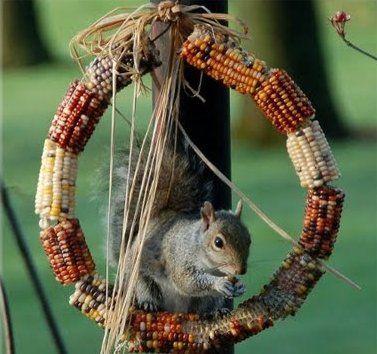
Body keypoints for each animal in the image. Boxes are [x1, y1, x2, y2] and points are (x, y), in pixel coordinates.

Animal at [107, 142, 251, 314]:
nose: (241, 271)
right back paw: (148, 303)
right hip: (139, 279)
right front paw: (219, 283)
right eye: (218, 243)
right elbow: (186, 281)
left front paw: (241, 286)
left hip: (207, 299)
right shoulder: (179, 257)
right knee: (144, 290)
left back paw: (216, 311)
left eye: (249, 240)